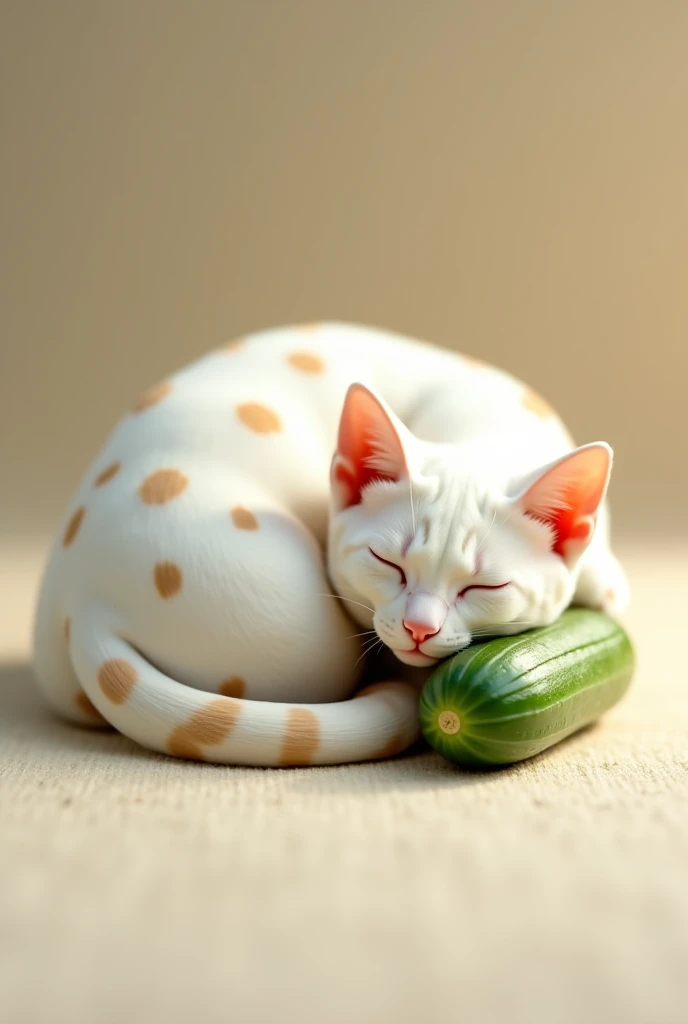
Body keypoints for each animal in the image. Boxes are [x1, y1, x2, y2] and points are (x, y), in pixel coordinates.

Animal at [32, 323, 626, 765]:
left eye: (484, 587)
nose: (419, 628)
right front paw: (604, 587)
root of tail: (90, 605)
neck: (483, 429)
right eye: (388, 563)